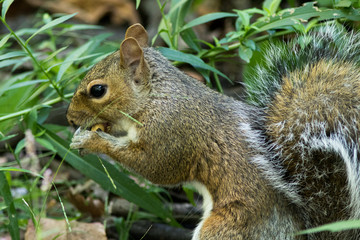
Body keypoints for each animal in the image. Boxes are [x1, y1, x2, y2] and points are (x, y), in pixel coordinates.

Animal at [66, 23, 360, 240]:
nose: (69, 118)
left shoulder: (171, 130)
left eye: (98, 90)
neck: (155, 97)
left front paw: (91, 140)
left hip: (230, 226)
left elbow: (156, 166)